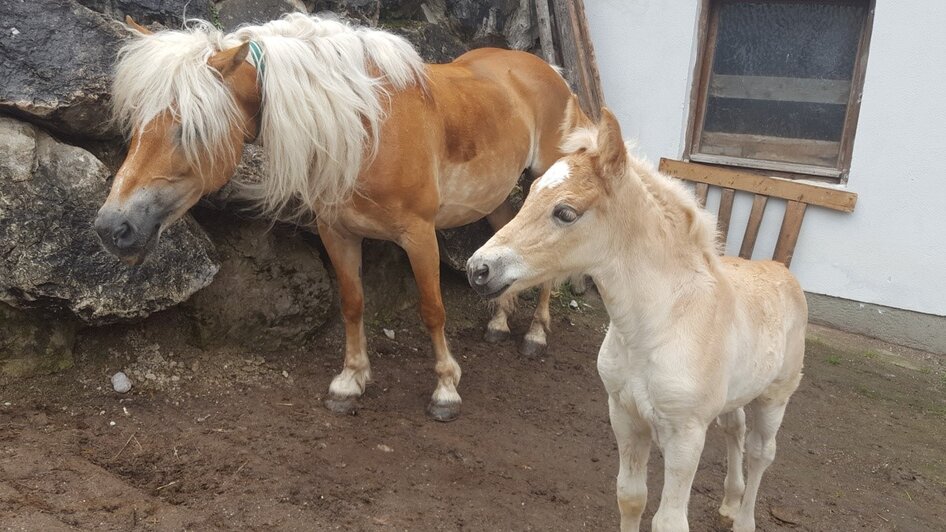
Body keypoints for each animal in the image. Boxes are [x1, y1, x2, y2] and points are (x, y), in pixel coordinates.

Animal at [96, 14, 572, 422]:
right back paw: (499, 322)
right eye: (136, 122)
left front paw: (445, 391)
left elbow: (432, 309)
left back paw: (535, 335)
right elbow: (352, 303)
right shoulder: (337, 233)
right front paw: (349, 382)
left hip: (547, 182)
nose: (112, 228)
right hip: (495, 200)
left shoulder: (420, 235)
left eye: (190, 129)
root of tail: (549, 69)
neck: (367, 129)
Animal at [464, 109, 804, 532]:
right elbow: (630, 497)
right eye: (530, 193)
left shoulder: (686, 436)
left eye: (565, 212)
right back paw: (728, 503)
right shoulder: (624, 416)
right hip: (737, 394)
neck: (656, 327)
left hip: (775, 397)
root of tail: (781, 271)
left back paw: (743, 519)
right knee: (734, 429)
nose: (477, 269)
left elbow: (669, 520)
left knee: (761, 453)